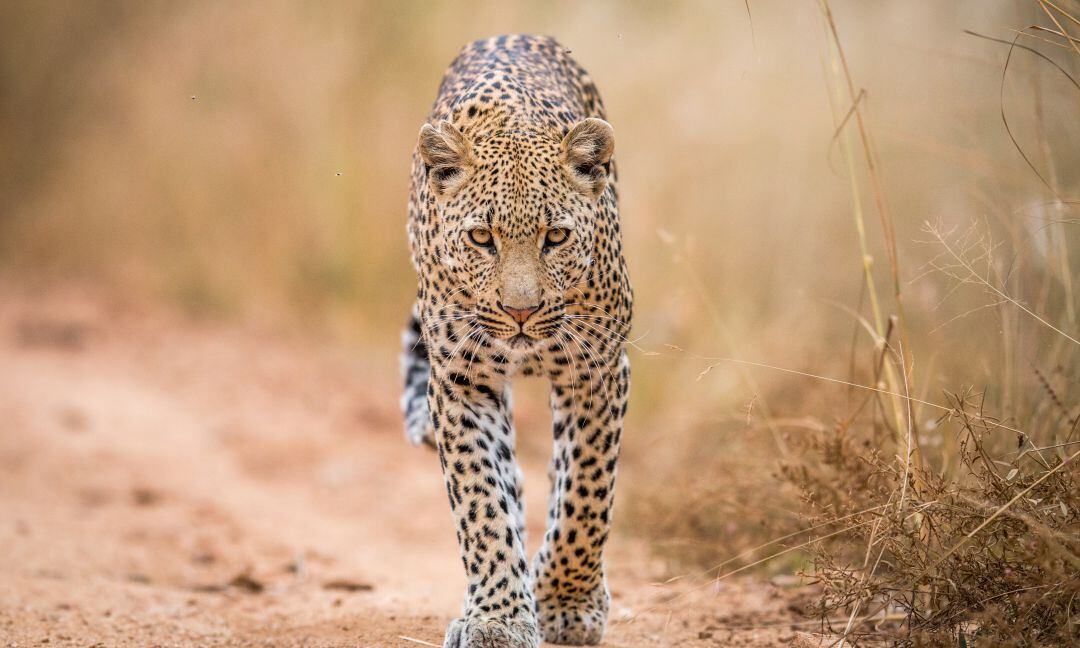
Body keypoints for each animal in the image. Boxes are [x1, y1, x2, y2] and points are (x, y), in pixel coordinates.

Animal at [399, 34, 632, 648]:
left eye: (557, 237)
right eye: (482, 237)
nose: (520, 311)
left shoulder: (597, 371)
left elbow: (586, 493)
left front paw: (568, 605)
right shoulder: (460, 382)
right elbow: (481, 501)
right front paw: (498, 617)